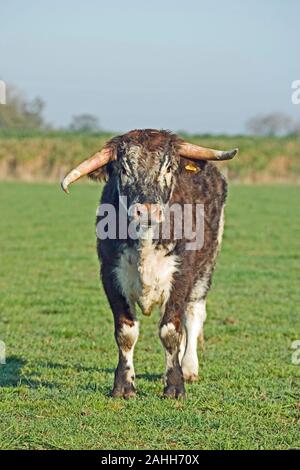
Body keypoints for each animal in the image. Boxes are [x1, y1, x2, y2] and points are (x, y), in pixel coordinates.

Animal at [61, 130, 239, 398]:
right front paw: (124, 386)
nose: (146, 211)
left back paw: (189, 367)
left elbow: (171, 331)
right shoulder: (112, 277)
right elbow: (126, 333)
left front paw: (175, 385)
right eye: (124, 168)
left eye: (168, 167)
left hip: (205, 270)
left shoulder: (181, 276)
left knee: (193, 314)